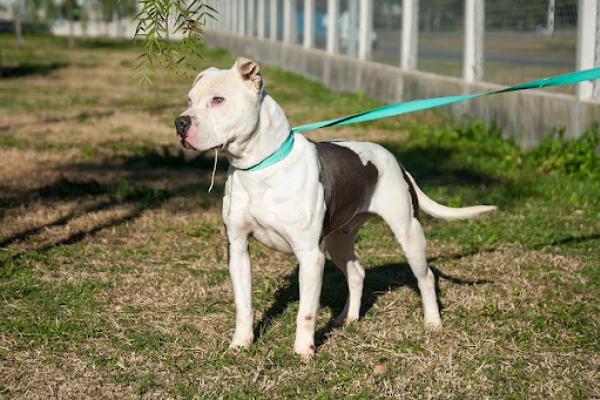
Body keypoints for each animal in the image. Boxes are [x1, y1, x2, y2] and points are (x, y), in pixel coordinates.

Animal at [173, 57, 496, 360]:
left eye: (218, 99)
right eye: (189, 100)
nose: (180, 123)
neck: (259, 168)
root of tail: (395, 159)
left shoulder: (310, 255)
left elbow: (306, 311)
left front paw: (303, 351)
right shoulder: (238, 248)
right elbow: (244, 304)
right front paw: (241, 344)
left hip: (408, 233)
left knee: (425, 277)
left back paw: (432, 322)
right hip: (339, 241)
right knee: (357, 273)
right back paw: (347, 318)